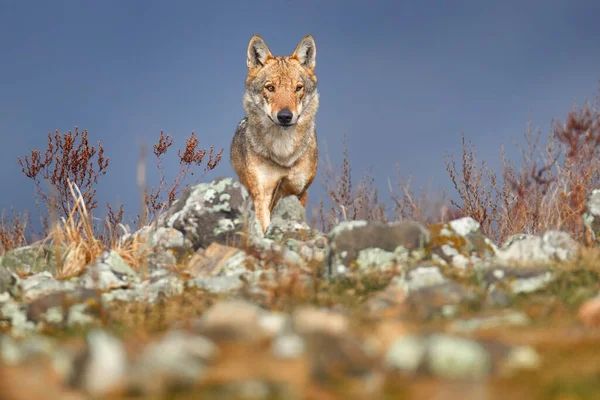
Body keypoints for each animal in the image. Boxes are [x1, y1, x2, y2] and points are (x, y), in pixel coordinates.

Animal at [231, 34, 322, 234]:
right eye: (270, 88)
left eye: (298, 88)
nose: (285, 116)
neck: (283, 152)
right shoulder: (262, 192)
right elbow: (264, 226)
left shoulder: (298, 191)